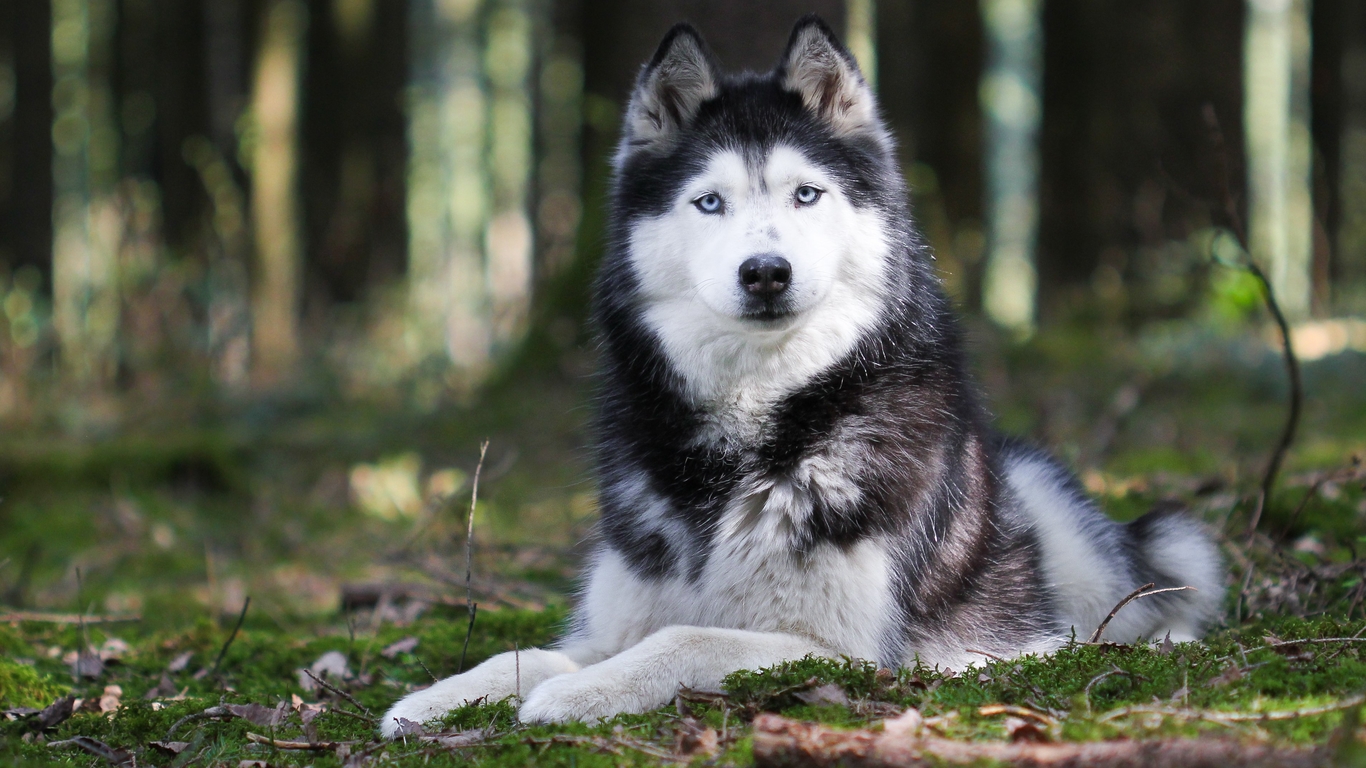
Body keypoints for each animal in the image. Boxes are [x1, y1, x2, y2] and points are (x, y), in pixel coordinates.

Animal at [379, 13, 1223, 737]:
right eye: (709, 202)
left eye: (806, 194)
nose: (765, 272)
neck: (755, 424)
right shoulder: (616, 614)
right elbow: (528, 652)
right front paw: (434, 698)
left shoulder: (845, 649)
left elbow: (684, 639)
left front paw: (579, 694)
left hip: (1060, 522)